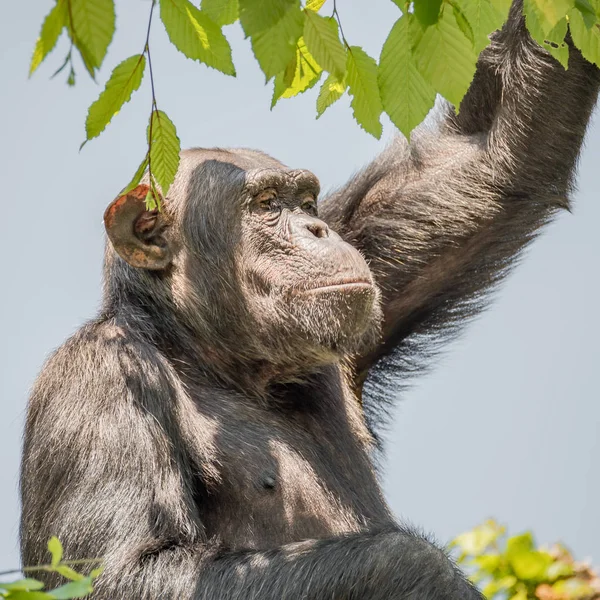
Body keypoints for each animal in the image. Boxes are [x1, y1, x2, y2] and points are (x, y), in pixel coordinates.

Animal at [19, 2, 600, 596]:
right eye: (266, 204)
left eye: (305, 201)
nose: (317, 230)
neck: (208, 355)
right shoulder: (98, 379)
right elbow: (127, 570)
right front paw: (425, 571)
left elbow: (494, 155)